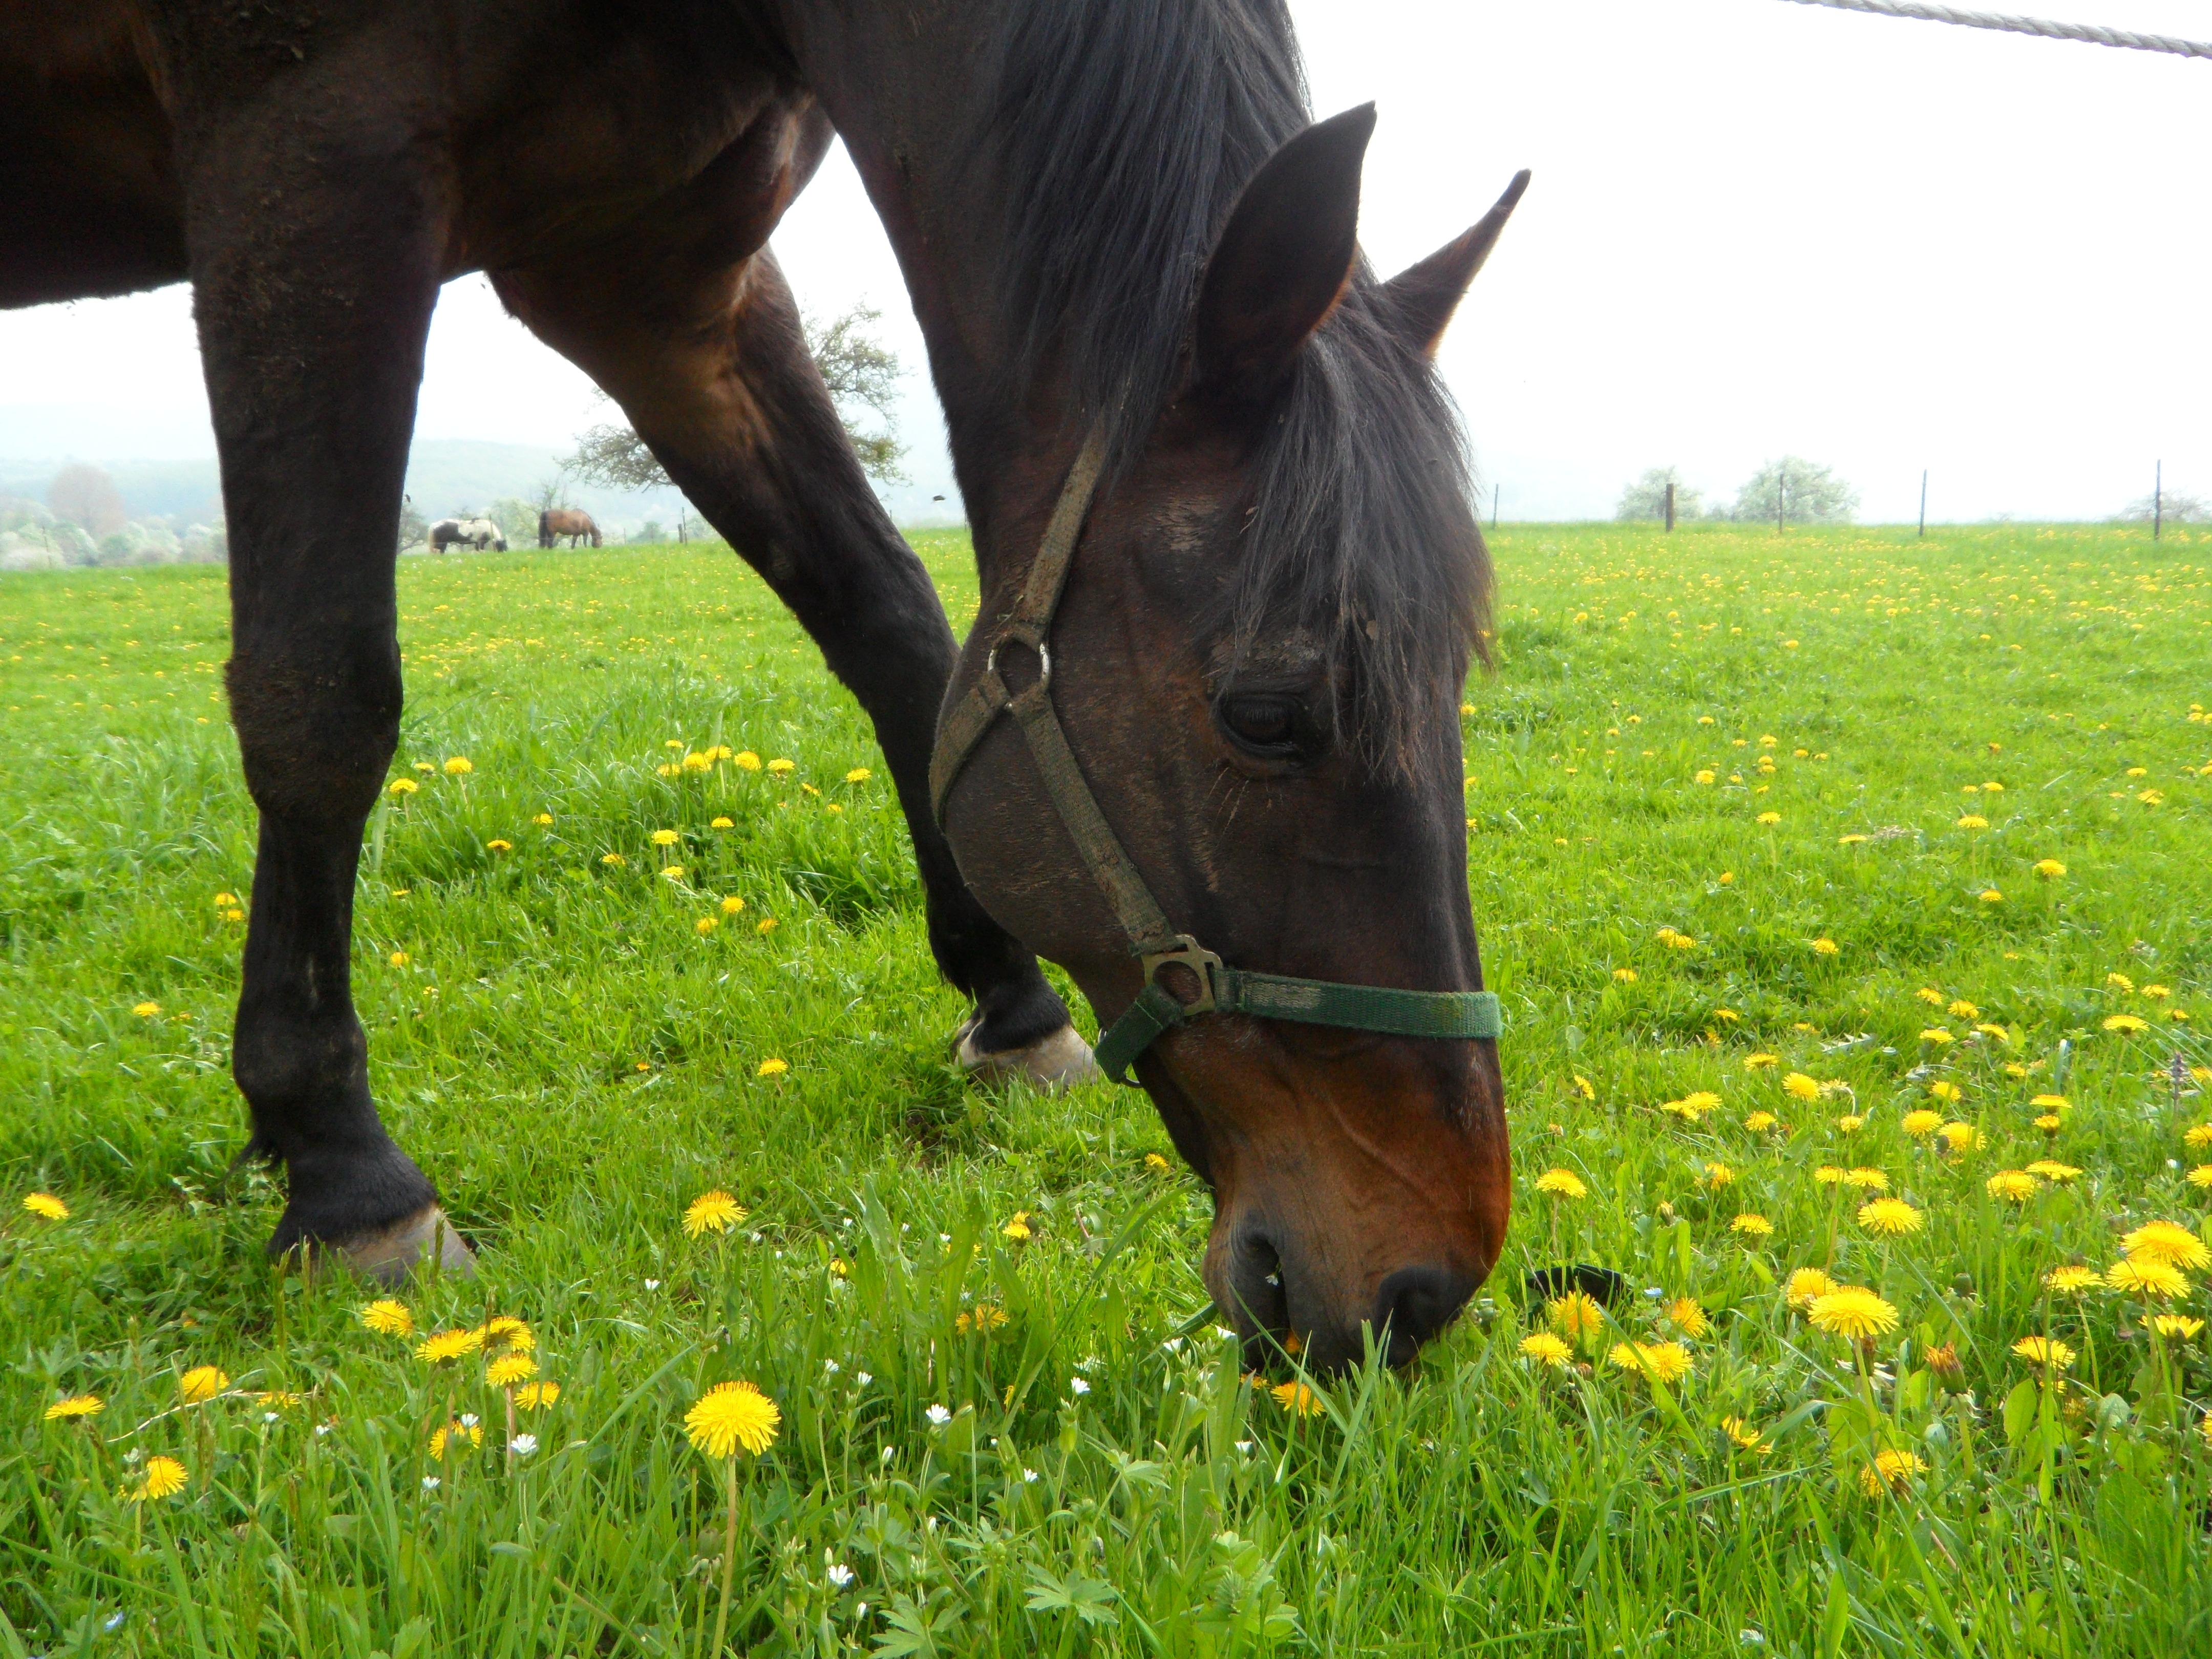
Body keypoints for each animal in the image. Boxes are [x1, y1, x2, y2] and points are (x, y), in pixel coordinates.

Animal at [4, 0, 1522, 1371]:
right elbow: (322, 693)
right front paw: (341, 1167)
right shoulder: (306, 159)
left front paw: (1013, 1011)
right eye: (1266, 715)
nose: (1420, 1283)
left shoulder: (658, 284)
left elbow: (892, 623)